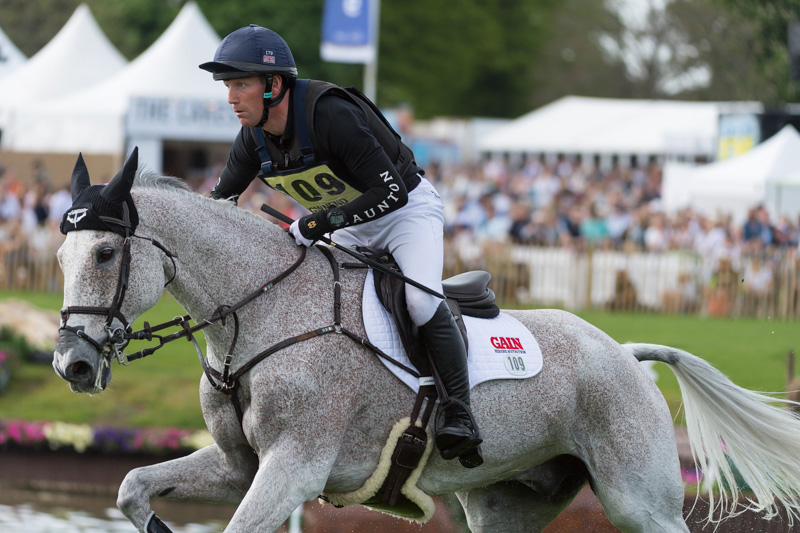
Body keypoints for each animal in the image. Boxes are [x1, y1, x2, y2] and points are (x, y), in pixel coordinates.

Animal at [53, 150, 800, 532]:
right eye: (60, 256)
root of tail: (625, 353)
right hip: (506, 504)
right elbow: (132, 487)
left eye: (105, 254)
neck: (259, 311)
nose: (72, 364)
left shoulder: (295, 465)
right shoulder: (242, 464)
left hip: (639, 501)